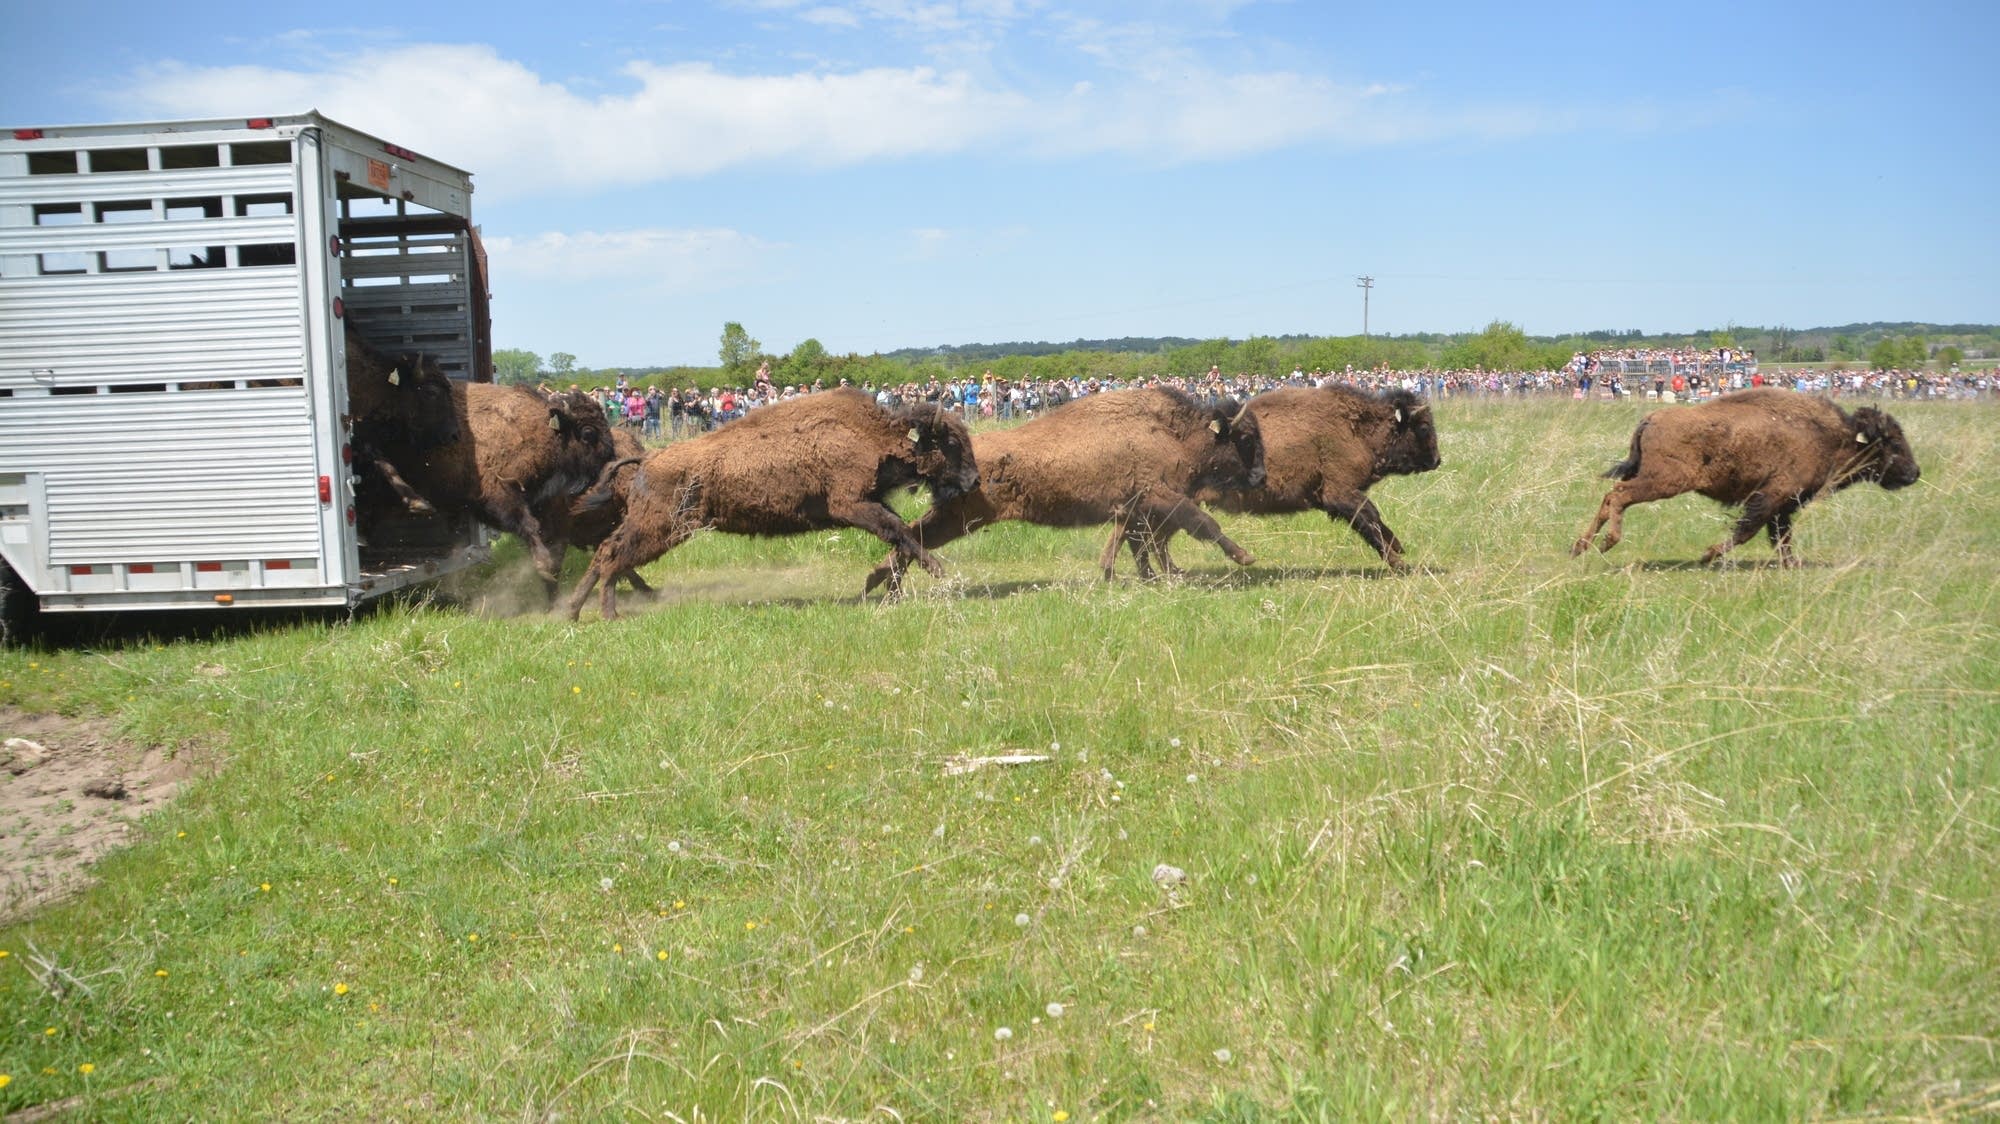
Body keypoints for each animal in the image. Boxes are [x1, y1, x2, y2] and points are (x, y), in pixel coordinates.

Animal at [1571, 388, 1919, 566]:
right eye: (1894, 443)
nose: (1915, 473)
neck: (1831, 436)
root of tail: (1651, 418)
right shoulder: (1773, 497)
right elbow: (1747, 531)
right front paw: (1708, 556)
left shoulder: (1782, 506)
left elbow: (1780, 538)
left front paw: (1791, 564)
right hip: (1664, 482)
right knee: (1618, 495)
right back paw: (1607, 543)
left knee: (1611, 496)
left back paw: (1580, 547)